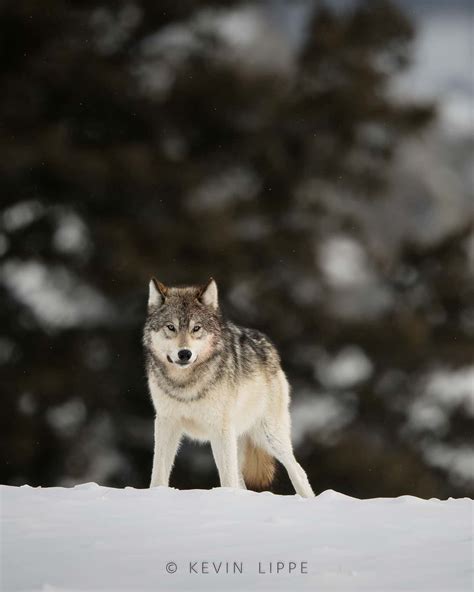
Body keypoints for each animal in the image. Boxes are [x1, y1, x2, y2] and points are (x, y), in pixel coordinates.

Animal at [144, 278, 314, 494]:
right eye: (171, 327)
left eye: (196, 328)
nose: (184, 354)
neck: (185, 383)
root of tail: (270, 348)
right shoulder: (166, 422)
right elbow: (158, 473)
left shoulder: (220, 428)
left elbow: (227, 478)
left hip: (268, 436)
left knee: (298, 471)